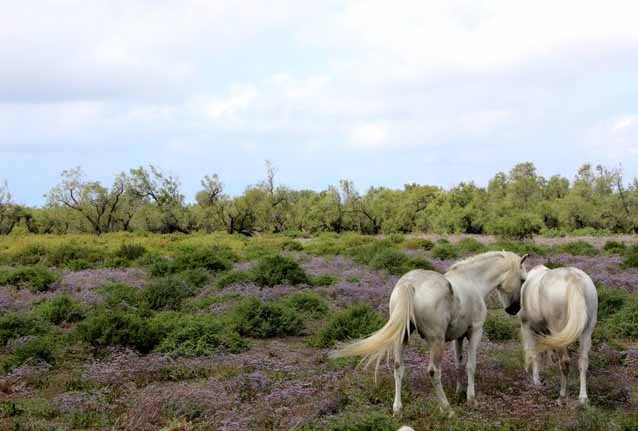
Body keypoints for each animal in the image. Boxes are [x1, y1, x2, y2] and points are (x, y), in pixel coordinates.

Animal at [332, 251, 528, 416]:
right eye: (523, 279)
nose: (514, 309)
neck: (472, 281)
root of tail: (410, 283)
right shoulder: (475, 332)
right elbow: (471, 365)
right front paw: (471, 399)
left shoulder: (458, 337)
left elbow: (459, 364)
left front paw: (459, 392)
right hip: (436, 342)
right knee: (433, 371)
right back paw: (447, 409)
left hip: (402, 338)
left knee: (398, 367)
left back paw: (398, 409)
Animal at [524, 264, 596, 406]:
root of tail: (574, 279)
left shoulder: (527, 327)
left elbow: (534, 354)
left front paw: (536, 380)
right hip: (587, 329)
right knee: (583, 361)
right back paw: (583, 398)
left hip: (558, 329)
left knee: (565, 363)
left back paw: (562, 396)